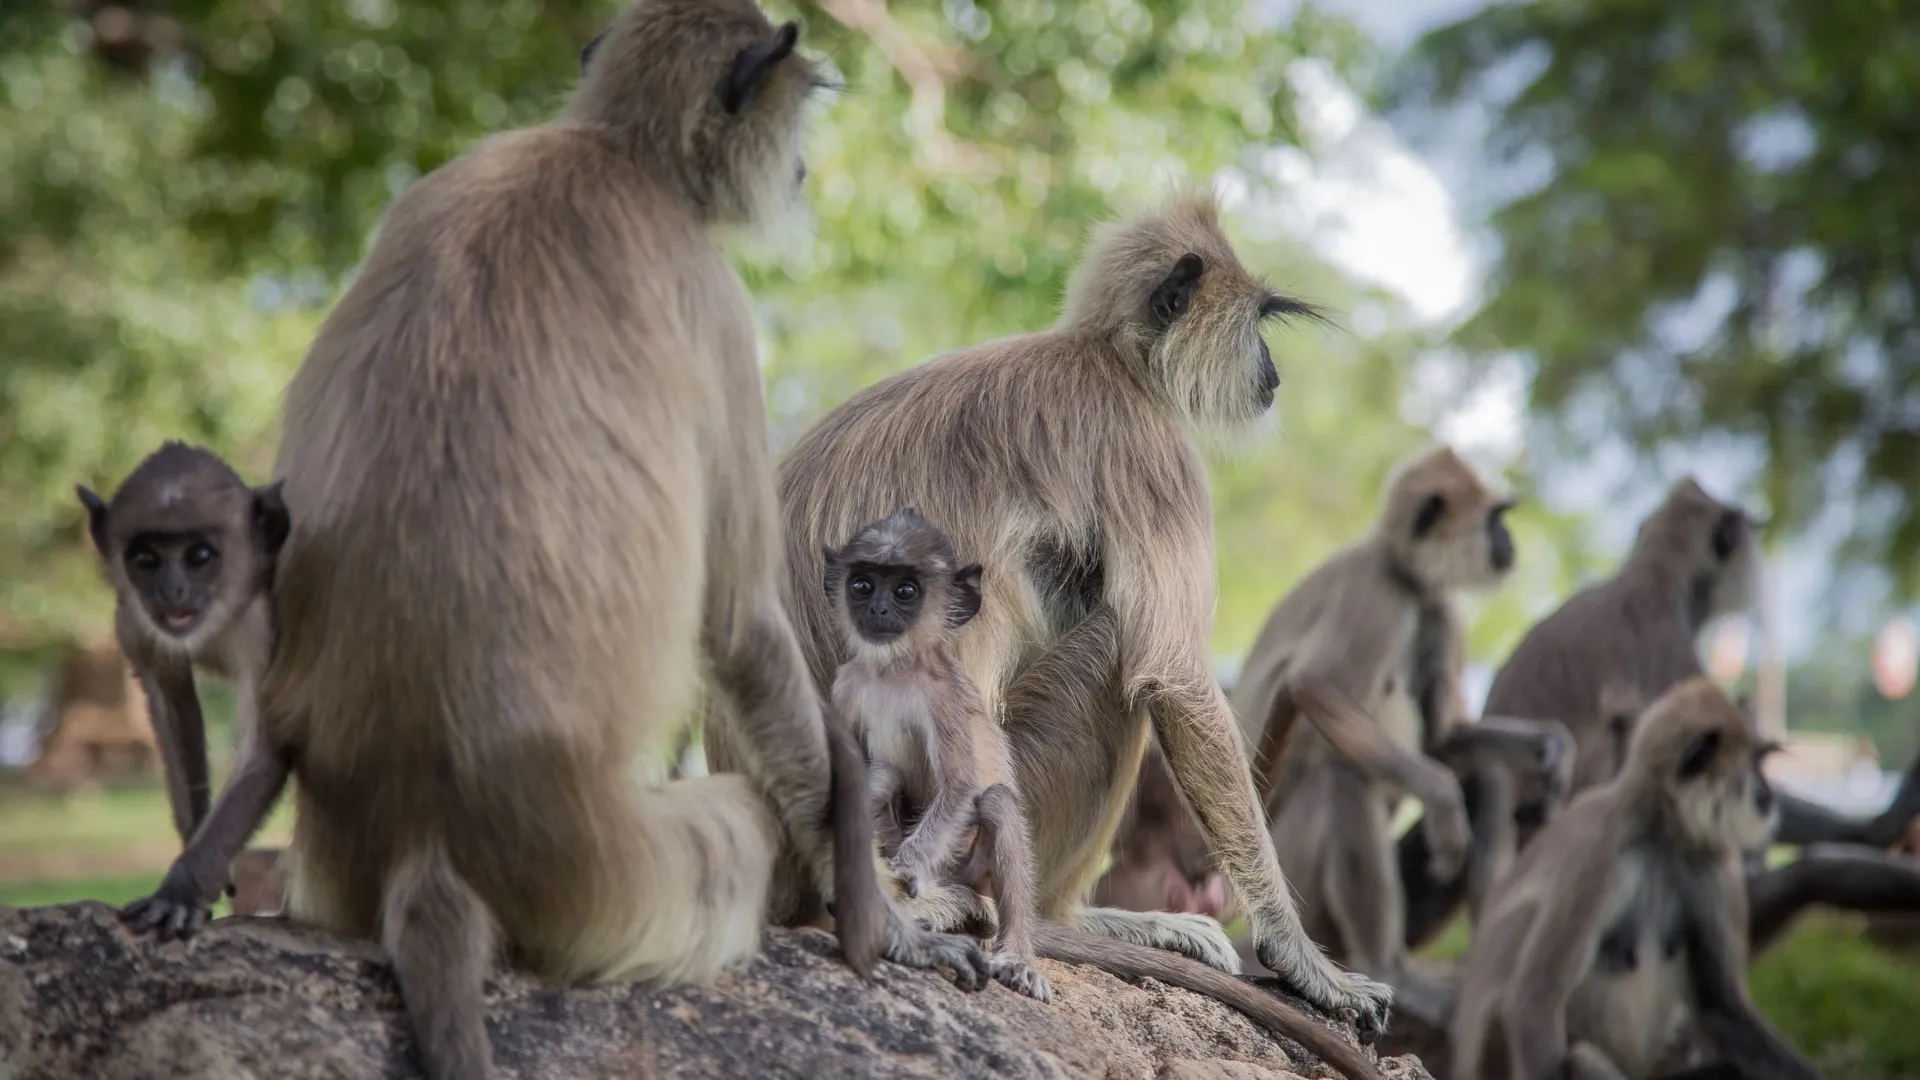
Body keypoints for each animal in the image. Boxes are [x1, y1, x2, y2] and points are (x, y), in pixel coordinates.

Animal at [75, 438, 288, 883]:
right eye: (145, 560)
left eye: (200, 556)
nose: (171, 591)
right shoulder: (133, 624)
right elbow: (174, 705)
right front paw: (194, 839)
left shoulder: (262, 626)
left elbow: (265, 745)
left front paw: (186, 883)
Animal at [817, 507, 1044, 999]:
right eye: (862, 584)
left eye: (905, 590)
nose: (878, 609)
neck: (891, 671)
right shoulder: (846, 685)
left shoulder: (942, 695)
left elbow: (959, 789)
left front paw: (906, 870)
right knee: (884, 777)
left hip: (969, 865)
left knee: (995, 801)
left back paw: (1016, 955)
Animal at [1451, 672, 1812, 1076]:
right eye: (1754, 764)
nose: (1767, 793)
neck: (1662, 836)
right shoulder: (1599, 855)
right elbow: (1534, 999)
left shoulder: (1714, 859)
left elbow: (1722, 1007)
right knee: (1577, 1052)